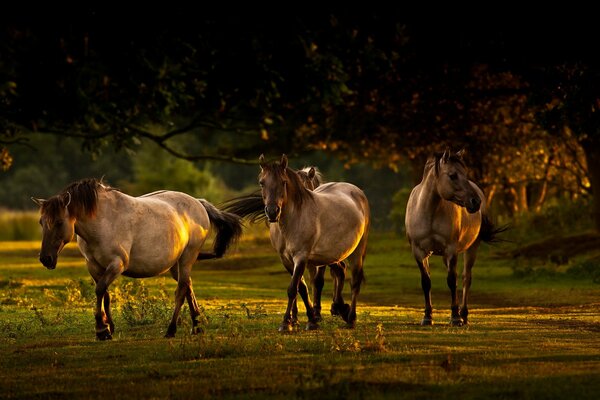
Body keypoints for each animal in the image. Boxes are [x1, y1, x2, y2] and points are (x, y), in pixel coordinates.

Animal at [31, 180, 243, 340]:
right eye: (41, 222)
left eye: (59, 222)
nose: (46, 258)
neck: (103, 222)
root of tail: (198, 203)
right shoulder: (94, 266)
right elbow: (105, 294)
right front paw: (109, 327)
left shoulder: (117, 264)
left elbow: (100, 290)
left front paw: (101, 330)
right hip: (176, 265)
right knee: (188, 286)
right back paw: (197, 326)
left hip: (187, 258)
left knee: (181, 291)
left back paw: (171, 330)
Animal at [226, 155, 370, 330]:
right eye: (262, 182)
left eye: (283, 182)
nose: (272, 212)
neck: (293, 221)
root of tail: (357, 191)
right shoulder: (286, 259)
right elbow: (301, 288)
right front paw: (308, 320)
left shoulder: (301, 256)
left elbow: (293, 289)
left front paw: (286, 323)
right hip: (333, 254)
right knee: (340, 272)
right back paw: (340, 309)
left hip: (357, 250)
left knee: (355, 281)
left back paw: (351, 319)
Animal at [406, 148, 504, 326]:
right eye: (452, 175)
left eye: (465, 173)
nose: (475, 202)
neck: (429, 213)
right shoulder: (419, 251)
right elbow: (426, 282)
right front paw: (427, 317)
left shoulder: (451, 250)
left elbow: (452, 281)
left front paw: (455, 317)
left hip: (472, 248)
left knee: (466, 278)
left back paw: (463, 315)